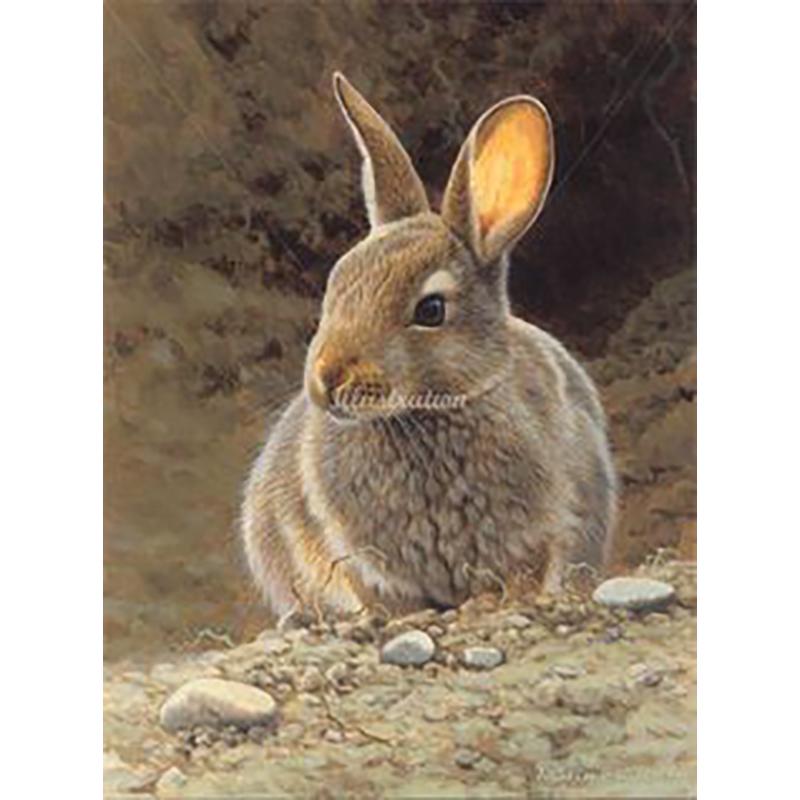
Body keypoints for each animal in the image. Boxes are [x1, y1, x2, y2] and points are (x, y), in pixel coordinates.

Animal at [242, 72, 616, 623]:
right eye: (336, 283)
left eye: (431, 310)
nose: (328, 379)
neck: (429, 415)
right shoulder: (355, 557)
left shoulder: (547, 530)